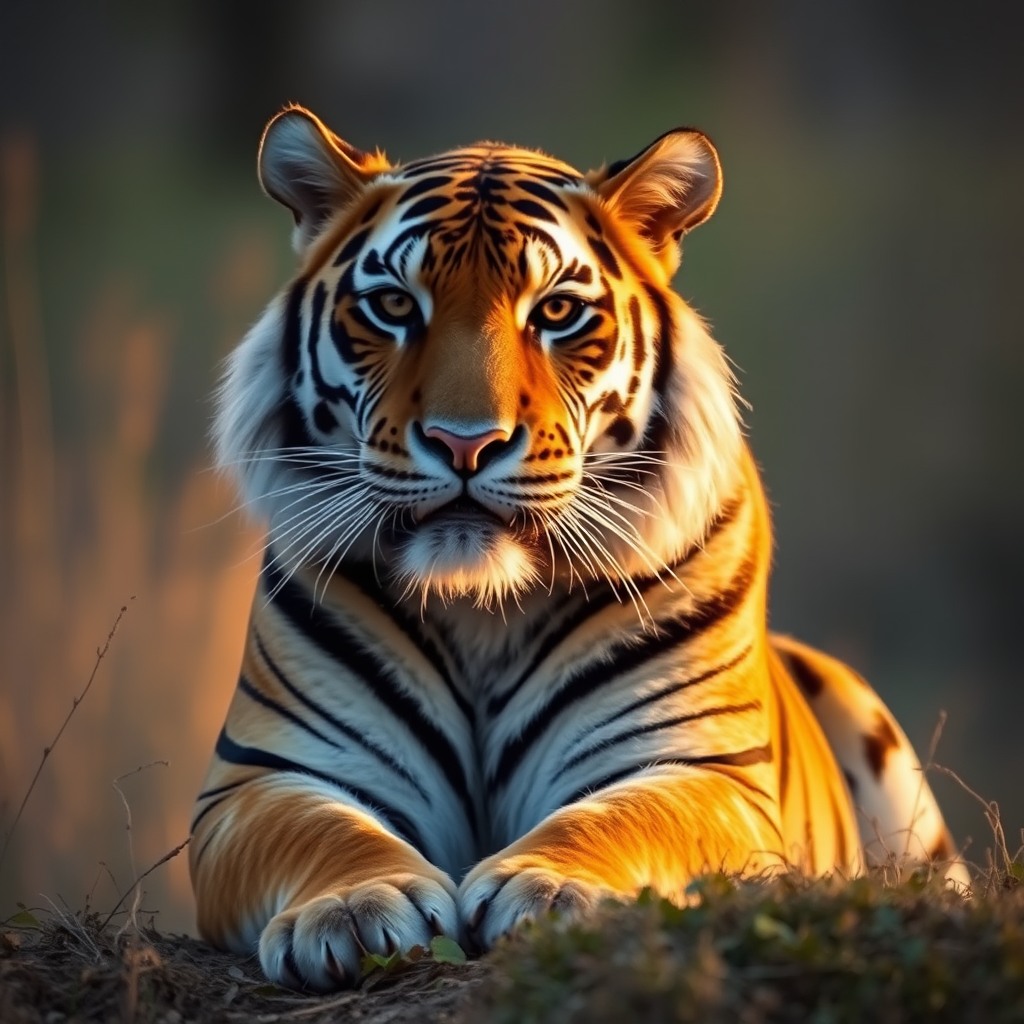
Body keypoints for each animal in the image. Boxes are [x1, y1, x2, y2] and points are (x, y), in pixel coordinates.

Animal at [190, 104, 969, 991]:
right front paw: (353, 909)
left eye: (557, 313)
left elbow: (625, 819)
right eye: (392, 305)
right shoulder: (267, 773)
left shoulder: (697, 766)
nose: (465, 443)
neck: (482, 609)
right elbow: (327, 832)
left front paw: (547, 887)